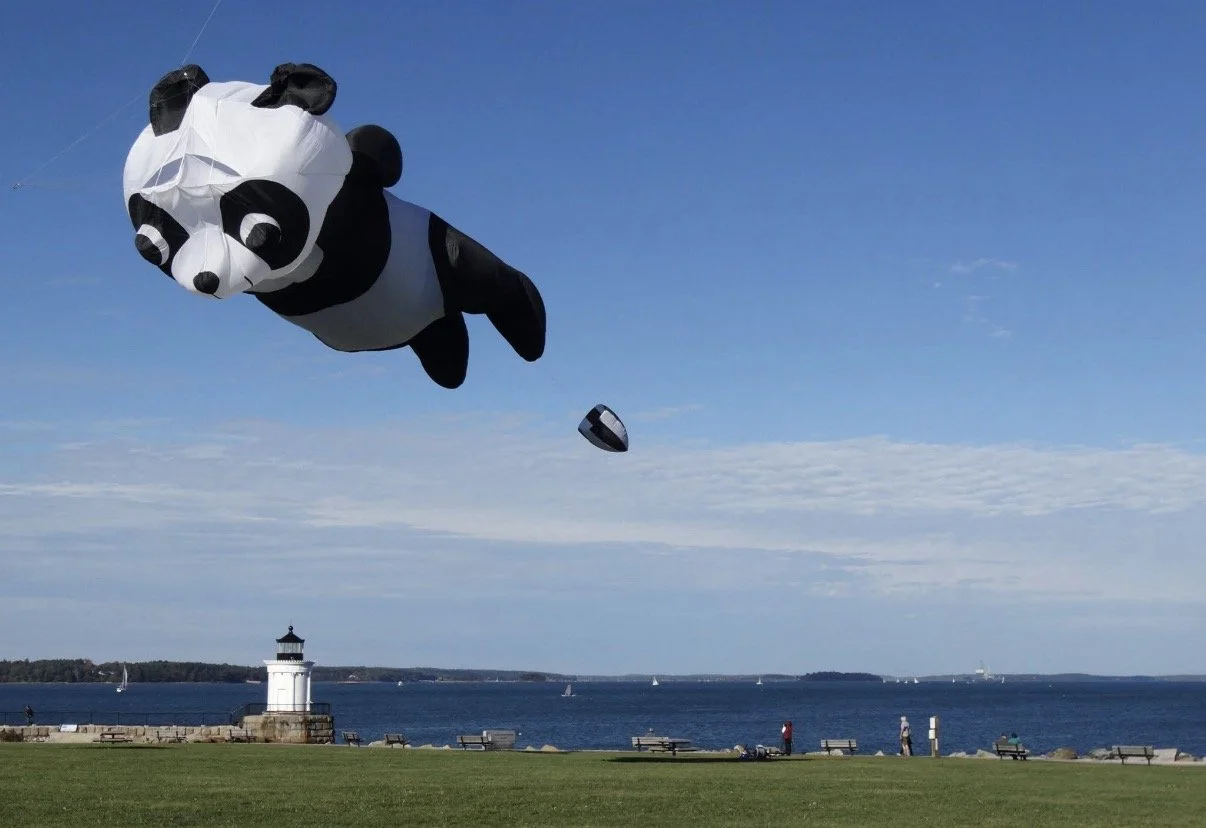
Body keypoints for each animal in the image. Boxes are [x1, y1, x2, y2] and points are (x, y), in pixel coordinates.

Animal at [122, 62, 545, 389]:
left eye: (261, 231)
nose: (206, 279)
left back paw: (531, 330)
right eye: (152, 247)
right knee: (446, 351)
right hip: (428, 318)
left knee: (483, 278)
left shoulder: (357, 192)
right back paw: (452, 360)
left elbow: (379, 149)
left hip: (436, 253)